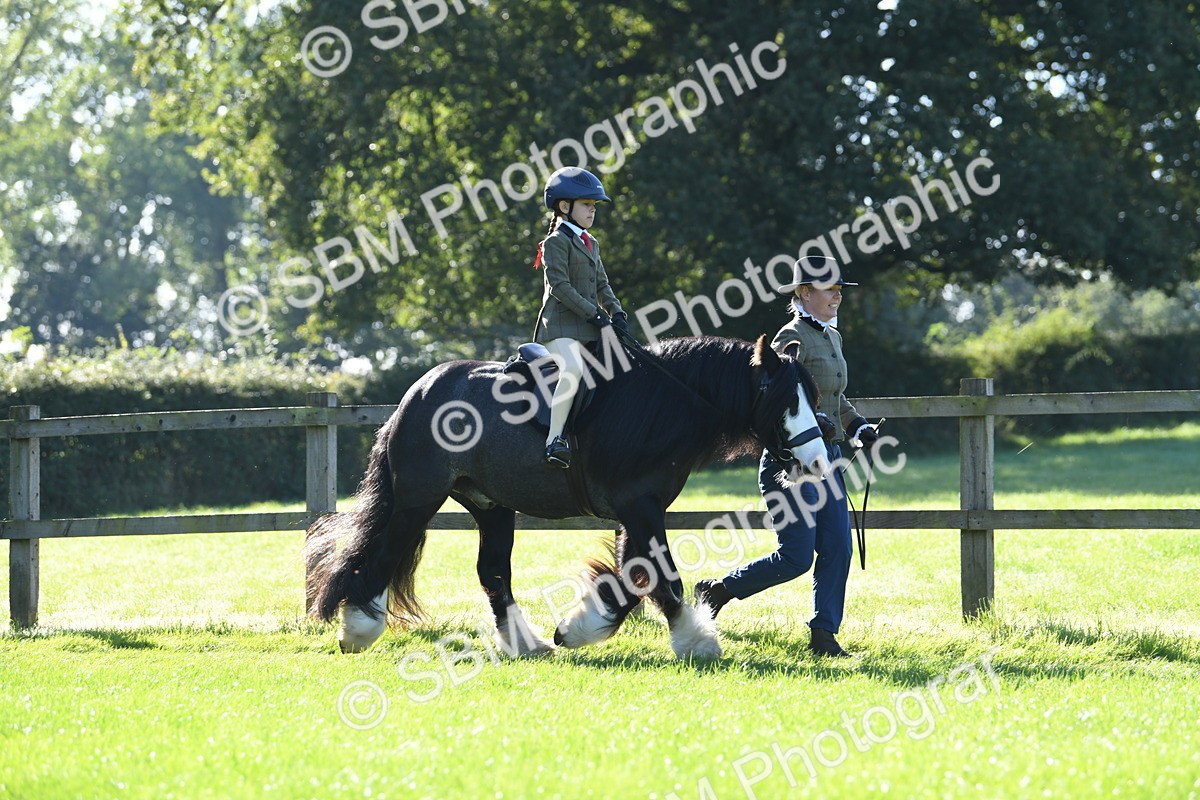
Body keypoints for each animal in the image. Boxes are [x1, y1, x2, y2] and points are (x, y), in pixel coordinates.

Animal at [304, 332, 832, 659]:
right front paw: (696, 641)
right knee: (383, 556)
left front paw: (576, 627)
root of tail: (416, 394)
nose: (818, 462)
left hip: (491, 507)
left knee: (493, 573)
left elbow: (634, 578)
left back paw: (526, 642)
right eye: (786, 401)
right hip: (418, 499)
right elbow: (663, 579)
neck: (660, 406)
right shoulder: (640, 509)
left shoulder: (637, 512)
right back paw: (358, 630)